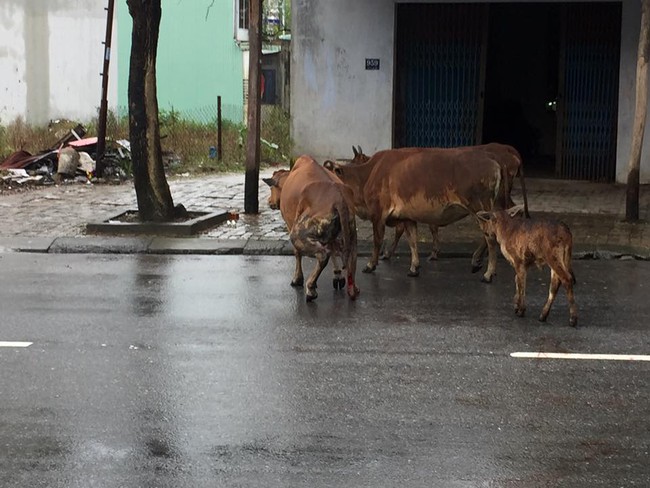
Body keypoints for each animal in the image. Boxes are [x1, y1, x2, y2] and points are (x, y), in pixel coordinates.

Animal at [260, 156, 360, 302]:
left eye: (271, 188)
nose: (269, 201)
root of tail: (338, 199)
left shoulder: (290, 225)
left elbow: (297, 253)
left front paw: (297, 279)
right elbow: (333, 250)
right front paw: (337, 275)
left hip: (298, 233)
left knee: (323, 255)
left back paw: (311, 288)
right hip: (351, 234)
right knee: (348, 257)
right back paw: (353, 288)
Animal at [350, 143, 528, 264]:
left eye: (354, 162)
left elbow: (406, 230)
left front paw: (387, 254)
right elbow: (426, 228)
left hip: (485, 203)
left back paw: (479, 256)